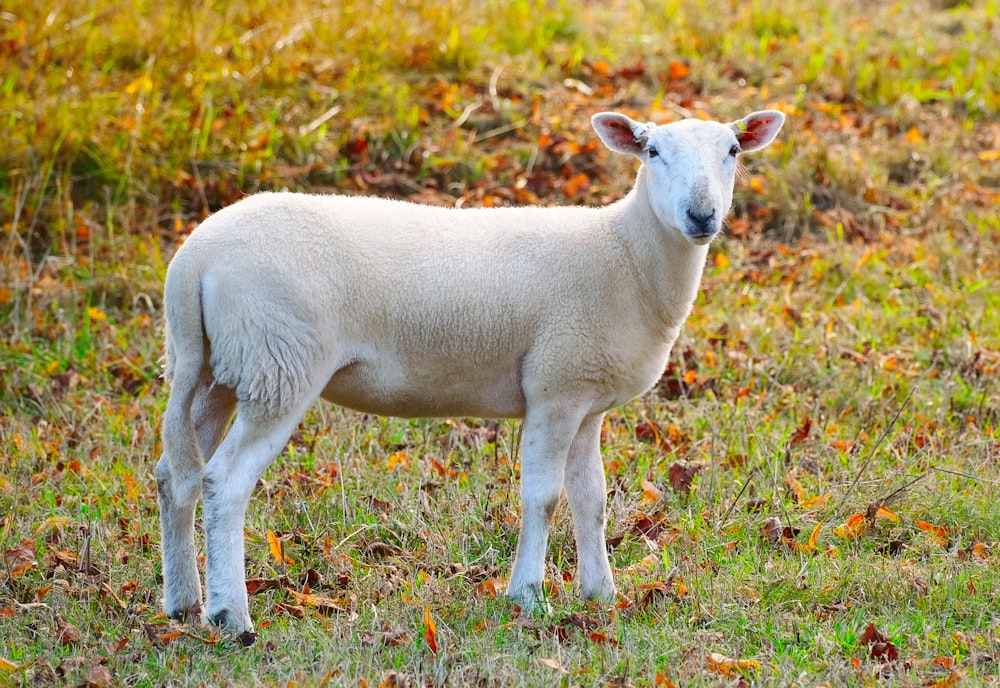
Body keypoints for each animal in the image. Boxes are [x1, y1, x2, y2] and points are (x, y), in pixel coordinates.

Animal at [154, 109, 780, 636]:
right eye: (651, 151)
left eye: (731, 150)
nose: (702, 215)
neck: (625, 255)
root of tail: (194, 260)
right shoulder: (554, 387)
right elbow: (544, 497)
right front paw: (527, 596)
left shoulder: (585, 396)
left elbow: (592, 499)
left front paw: (600, 594)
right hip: (279, 362)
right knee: (224, 481)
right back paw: (232, 616)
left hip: (212, 368)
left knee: (174, 476)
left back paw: (183, 601)